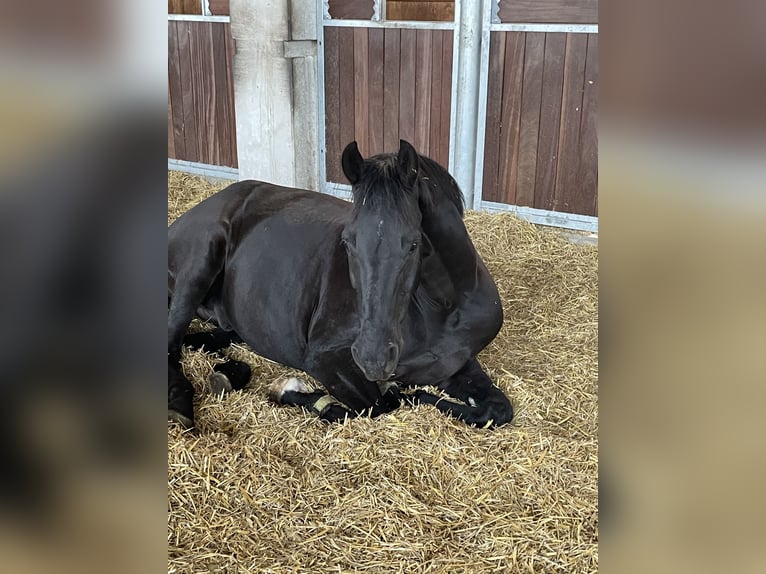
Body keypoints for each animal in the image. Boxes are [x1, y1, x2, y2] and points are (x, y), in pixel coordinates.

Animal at [169, 143, 516, 432]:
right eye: (348, 241)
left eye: (413, 244)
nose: (373, 357)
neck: (443, 309)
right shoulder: (323, 358)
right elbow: (380, 404)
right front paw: (293, 390)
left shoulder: (455, 365)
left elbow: (496, 410)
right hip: (200, 261)